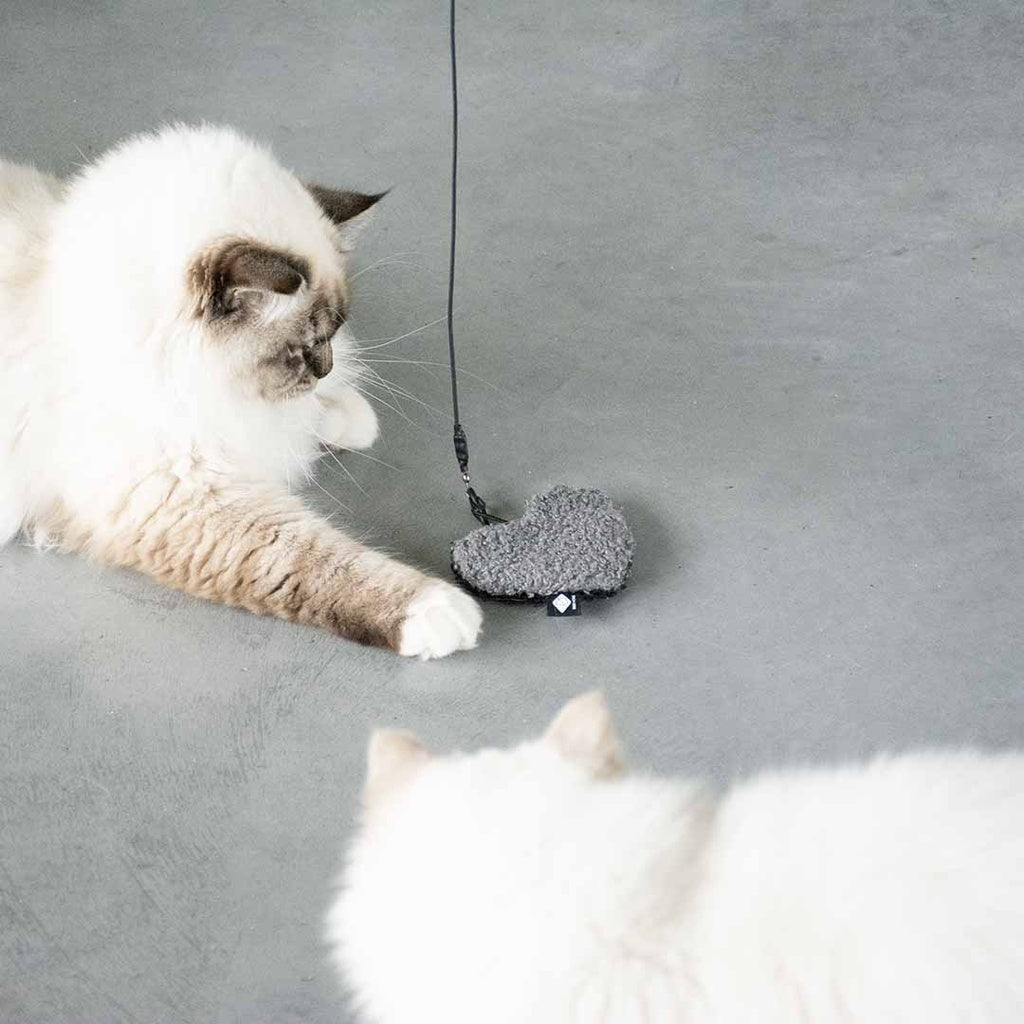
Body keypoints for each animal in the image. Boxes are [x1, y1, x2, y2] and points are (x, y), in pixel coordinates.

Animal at [0, 124, 481, 658]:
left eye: (334, 332)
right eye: (304, 347)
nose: (326, 368)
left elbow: (307, 423)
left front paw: (345, 418)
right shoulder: (180, 499)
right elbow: (308, 557)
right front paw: (439, 610)